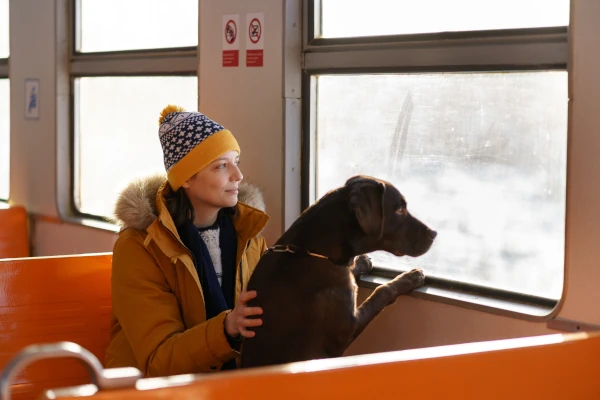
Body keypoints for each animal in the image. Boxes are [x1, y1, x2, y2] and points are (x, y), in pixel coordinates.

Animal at [240, 175, 436, 368]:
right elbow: (382, 291)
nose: (434, 233)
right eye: (400, 210)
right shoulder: (348, 328)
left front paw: (361, 262)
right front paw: (409, 278)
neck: (313, 252)